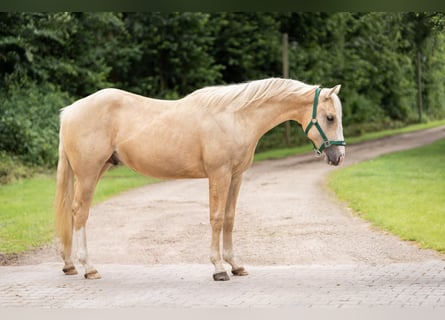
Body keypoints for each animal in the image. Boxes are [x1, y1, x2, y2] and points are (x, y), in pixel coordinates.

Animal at [55, 77, 346, 280]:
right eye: (330, 117)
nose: (339, 156)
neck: (235, 117)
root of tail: (70, 110)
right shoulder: (219, 174)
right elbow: (216, 218)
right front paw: (218, 268)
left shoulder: (236, 177)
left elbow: (229, 218)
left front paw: (235, 265)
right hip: (89, 173)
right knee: (80, 212)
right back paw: (88, 268)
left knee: (75, 213)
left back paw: (70, 265)